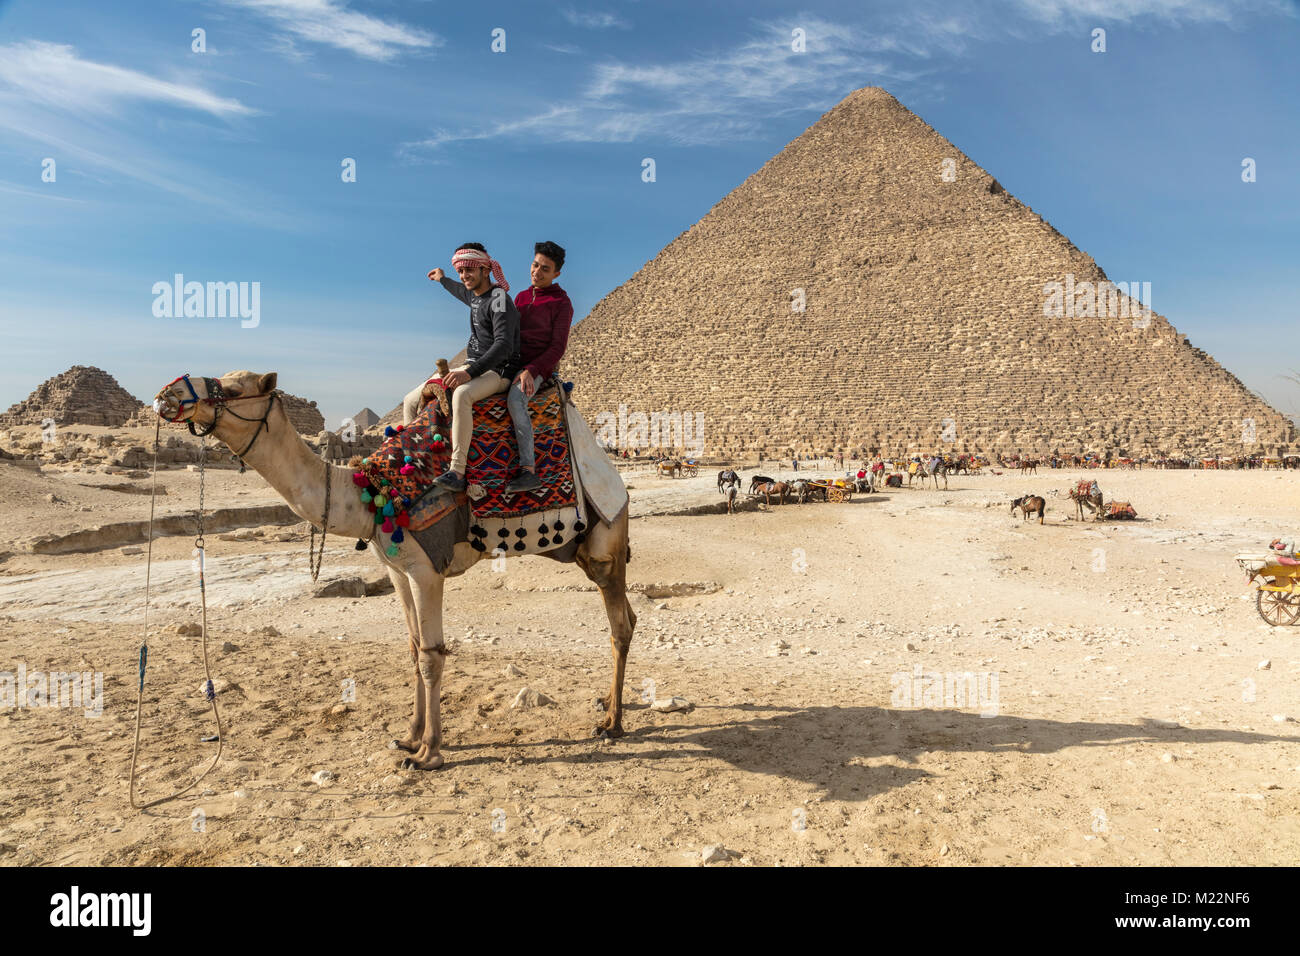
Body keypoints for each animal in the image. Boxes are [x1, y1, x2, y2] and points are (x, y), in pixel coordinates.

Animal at [154, 371, 637, 770]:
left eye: (234, 389)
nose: (168, 394)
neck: (371, 497)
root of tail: (615, 475)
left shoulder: (427, 570)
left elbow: (432, 656)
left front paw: (430, 753)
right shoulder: (396, 571)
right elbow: (412, 647)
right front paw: (408, 737)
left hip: (605, 545)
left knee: (619, 625)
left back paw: (612, 724)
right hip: (585, 551)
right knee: (628, 618)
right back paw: (607, 706)